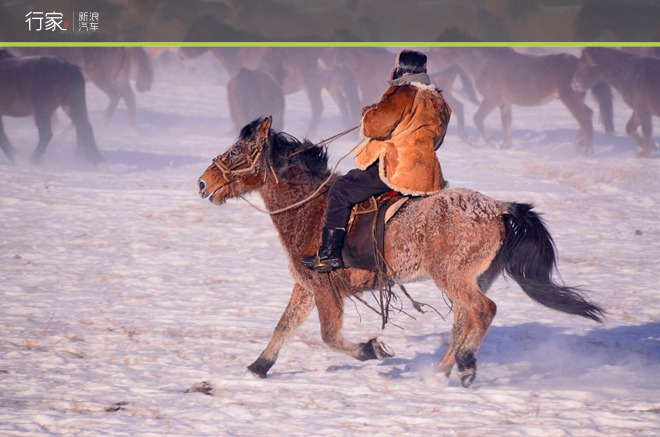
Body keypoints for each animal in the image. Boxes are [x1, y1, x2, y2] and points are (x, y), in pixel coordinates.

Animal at [196, 116, 604, 384]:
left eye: (237, 150)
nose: (203, 183)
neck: (311, 208)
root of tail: (499, 208)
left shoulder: (325, 288)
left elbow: (329, 335)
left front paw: (371, 350)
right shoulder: (307, 285)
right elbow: (285, 325)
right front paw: (258, 367)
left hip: (452, 276)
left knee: (483, 311)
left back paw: (465, 364)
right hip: (473, 278)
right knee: (465, 319)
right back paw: (441, 373)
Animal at [428, 46, 612, 153]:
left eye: (438, 50)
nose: (428, 64)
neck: (484, 63)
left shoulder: (493, 99)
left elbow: (478, 118)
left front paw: (493, 143)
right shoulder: (504, 103)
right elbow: (506, 123)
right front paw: (505, 146)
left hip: (571, 99)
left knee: (585, 120)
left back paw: (588, 151)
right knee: (589, 114)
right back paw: (579, 144)